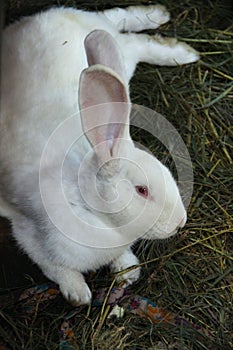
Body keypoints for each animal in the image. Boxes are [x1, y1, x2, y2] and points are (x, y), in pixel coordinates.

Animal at [0, 4, 198, 304]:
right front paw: (78, 295)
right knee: (120, 33)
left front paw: (127, 270)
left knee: (125, 33)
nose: (180, 223)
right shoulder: (29, 236)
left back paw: (175, 43)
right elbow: (57, 270)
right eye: (142, 190)